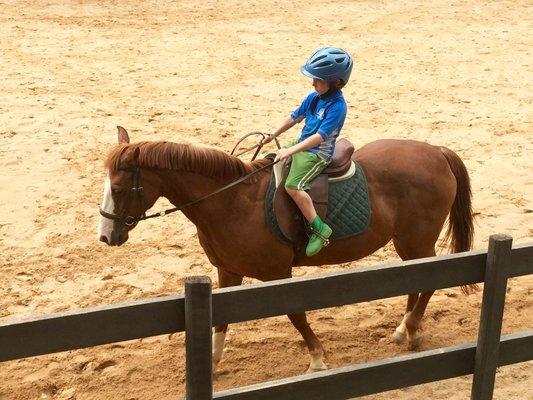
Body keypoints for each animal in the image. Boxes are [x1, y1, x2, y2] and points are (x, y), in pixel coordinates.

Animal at [97, 127, 472, 372]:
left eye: (119, 188)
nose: (105, 236)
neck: (231, 200)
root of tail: (436, 152)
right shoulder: (227, 270)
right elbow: (219, 320)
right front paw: (213, 363)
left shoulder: (277, 274)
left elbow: (296, 314)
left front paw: (317, 358)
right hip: (408, 243)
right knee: (415, 282)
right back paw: (404, 330)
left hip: (416, 240)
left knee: (428, 283)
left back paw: (409, 329)